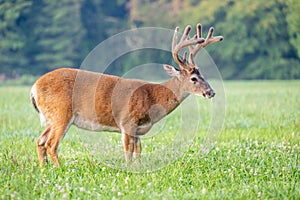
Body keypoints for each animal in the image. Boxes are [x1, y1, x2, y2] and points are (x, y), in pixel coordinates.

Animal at [31, 23, 223, 166]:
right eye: (193, 78)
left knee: (40, 140)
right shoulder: (126, 122)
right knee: (51, 144)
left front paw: (138, 167)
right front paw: (130, 169)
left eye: (202, 75)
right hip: (61, 113)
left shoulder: (138, 128)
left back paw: (44, 168)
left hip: (51, 117)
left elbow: (138, 150)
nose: (211, 92)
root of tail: (34, 87)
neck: (152, 99)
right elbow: (128, 151)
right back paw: (59, 169)